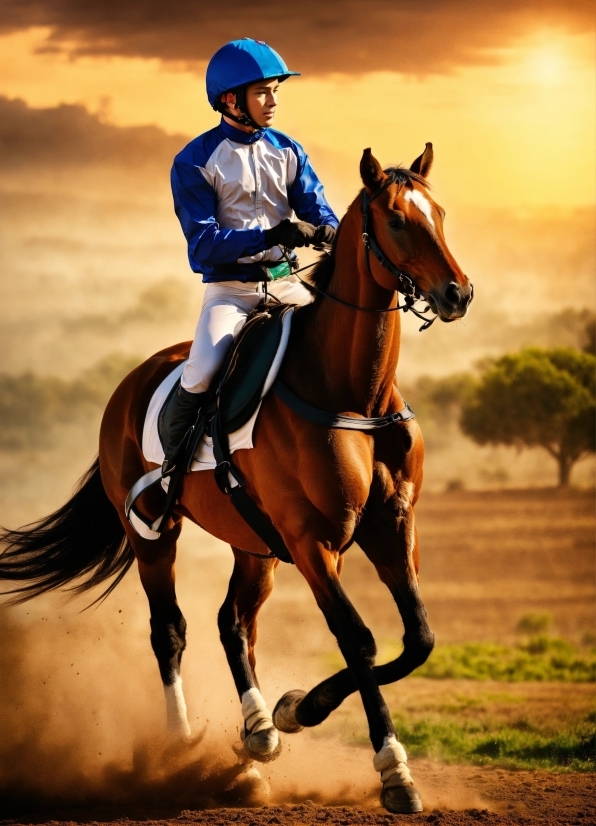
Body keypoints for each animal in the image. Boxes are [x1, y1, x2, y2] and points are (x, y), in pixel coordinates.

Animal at [1, 143, 474, 812]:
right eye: (396, 219)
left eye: (439, 213)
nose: (458, 293)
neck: (353, 396)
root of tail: (130, 386)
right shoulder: (313, 542)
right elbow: (359, 640)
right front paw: (389, 767)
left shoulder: (392, 527)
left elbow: (418, 640)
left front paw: (295, 709)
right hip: (155, 534)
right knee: (170, 630)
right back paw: (180, 745)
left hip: (255, 547)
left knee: (234, 624)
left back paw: (258, 733)